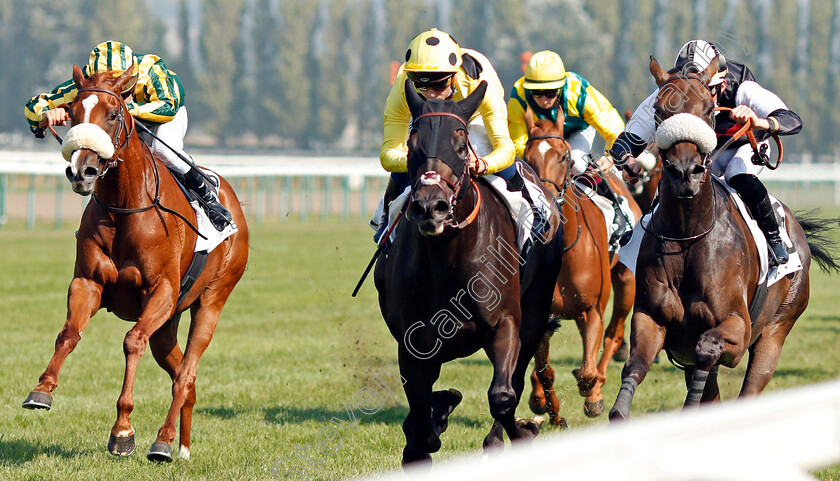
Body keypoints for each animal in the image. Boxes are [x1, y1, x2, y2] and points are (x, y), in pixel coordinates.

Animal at [21, 65, 248, 460]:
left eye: (114, 114)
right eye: (73, 113)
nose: (83, 171)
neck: (125, 206)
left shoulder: (161, 292)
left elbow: (132, 341)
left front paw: (123, 429)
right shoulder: (88, 283)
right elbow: (69, 333)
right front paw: (42, 390)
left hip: (212, 300)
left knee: (186, 373)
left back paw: (163, 442)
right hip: (169, 323)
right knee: (181, 375)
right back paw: (181, 445)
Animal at [376, 80, 564, 466]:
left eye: (462, 146)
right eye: (412, 145)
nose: (430, 207)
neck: (448, 260)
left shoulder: (506, 323)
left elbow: (503, 396)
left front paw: (524, 431)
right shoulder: (412, 341)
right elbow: (421, 410)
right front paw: (425, 432)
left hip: (535, 311)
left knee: (515, 380)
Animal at [520, 108, 640, 420]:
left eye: (564, 157)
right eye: (527, 157)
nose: (546, 204)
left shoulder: (593, 308)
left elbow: (587, 372)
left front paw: (593, 395)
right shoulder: (542, 312)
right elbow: (543, 369)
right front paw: (548, 406)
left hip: (626, 282)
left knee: (614, 334)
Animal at [608, 56, 836, 420]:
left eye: (707, 108)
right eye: (658, 111)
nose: (685, 172)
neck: (688, 236)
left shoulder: (738, 329)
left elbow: (708, 347)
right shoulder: (652, 319)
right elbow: (635, 366)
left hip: (777, 329)